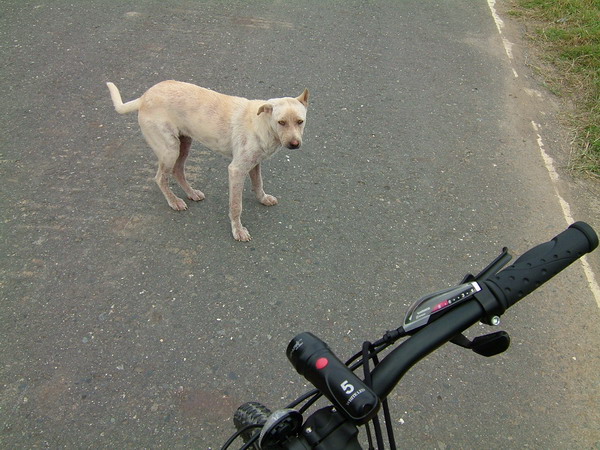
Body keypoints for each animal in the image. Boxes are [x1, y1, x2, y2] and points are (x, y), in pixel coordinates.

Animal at [105, 81, 310, 243]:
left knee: (178, 171)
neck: (263, 124)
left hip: (184, 143)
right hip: (170, 149)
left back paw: (191, 193)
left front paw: (263, 198)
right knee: (160, 178)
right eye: (281, 122)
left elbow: (258, 183)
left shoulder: (254, 163)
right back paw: (174, 201)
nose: (294, 145)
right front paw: (238, 230)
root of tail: (144, 97)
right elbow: (236, 205)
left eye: (300, 121)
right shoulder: (236, 170)